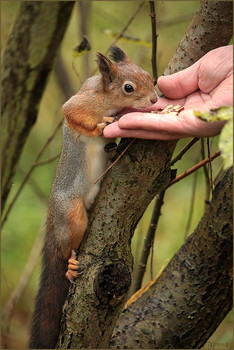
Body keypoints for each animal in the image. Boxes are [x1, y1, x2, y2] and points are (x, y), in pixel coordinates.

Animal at [28, 45, 157, 348]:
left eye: (147, 74)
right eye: (128, 87)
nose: (155, 98)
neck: (105, 95)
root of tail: (52, 216)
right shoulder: (81, 104)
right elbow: (74, 115)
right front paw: (101, 126)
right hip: (71, 214)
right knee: (66, 248)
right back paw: (70, 265)